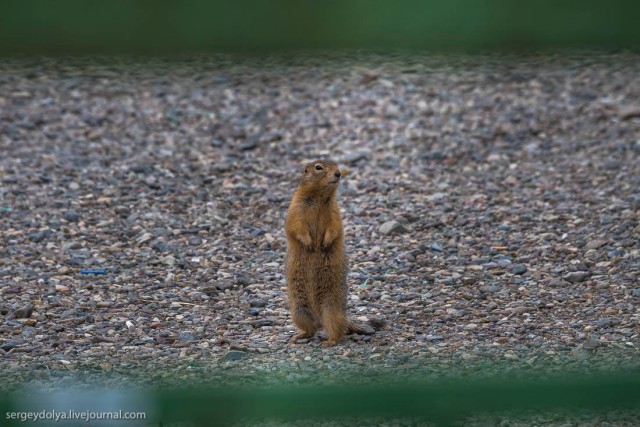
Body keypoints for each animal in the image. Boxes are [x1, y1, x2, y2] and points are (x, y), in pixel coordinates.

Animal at [284, 159, 376, 346]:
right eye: (318, 167)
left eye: (337, 165)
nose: (338, 173)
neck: (319, 197)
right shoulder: (296, 207)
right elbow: (296, 226)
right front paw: (310, 244)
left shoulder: (335, 211)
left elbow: (335, 227)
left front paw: (325, 243)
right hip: (298, 311)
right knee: (311, 330)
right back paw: (298, 336)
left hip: (331, 310)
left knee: (337, 330)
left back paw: (329, 341)